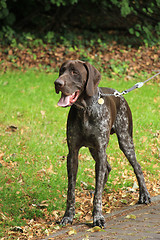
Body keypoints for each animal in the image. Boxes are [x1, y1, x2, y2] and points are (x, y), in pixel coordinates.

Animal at [54, 59, 151, 227]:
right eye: (61, 71)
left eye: (75, 72)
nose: (57, 83)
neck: (85, 110)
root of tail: (120, 94)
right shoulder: (73, 153)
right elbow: (71, 190)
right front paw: (68, 216)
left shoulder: (100, 149)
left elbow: (98, 190)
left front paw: (97, 216)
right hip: (95, 149)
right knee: (107, 168)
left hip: (125, 140)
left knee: (137, 167)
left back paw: (144, 195)